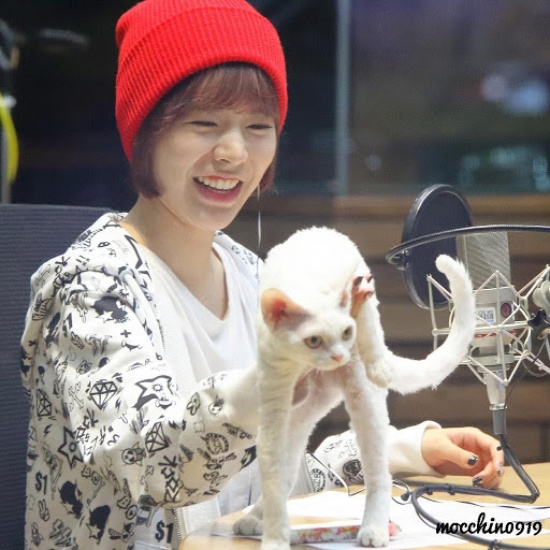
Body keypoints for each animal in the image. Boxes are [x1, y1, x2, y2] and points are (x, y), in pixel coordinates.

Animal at [233, 226, 475, 549]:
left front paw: (379, 366)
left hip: (364, 404)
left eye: (347, 332)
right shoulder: (273, 399)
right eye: (313, 340)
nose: (339, 356)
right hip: (301, 418)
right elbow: (273, 481)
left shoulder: (363, 303)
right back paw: (253, 518)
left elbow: (369, 329)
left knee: (380, 476)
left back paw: (374, 528)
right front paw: (274, 537)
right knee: (286, 476)